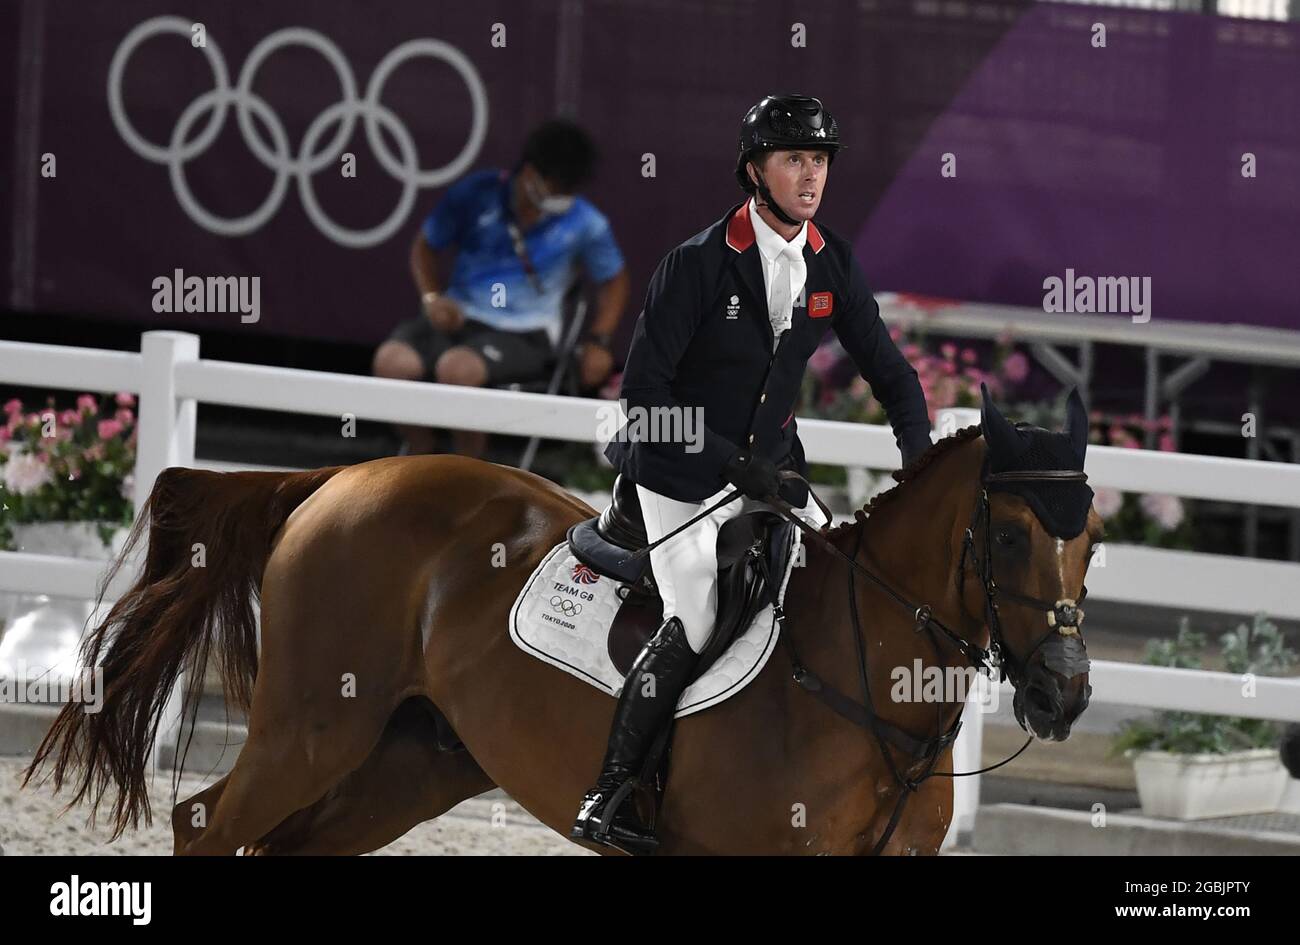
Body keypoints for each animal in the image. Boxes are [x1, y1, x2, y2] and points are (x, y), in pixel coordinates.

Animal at [25, 423, 1102, 857]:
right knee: (204, 821)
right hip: (312, 731)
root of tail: (342, 478)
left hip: (414, 760)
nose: (1065, 694)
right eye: (1010, 534)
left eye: (1089, 537)